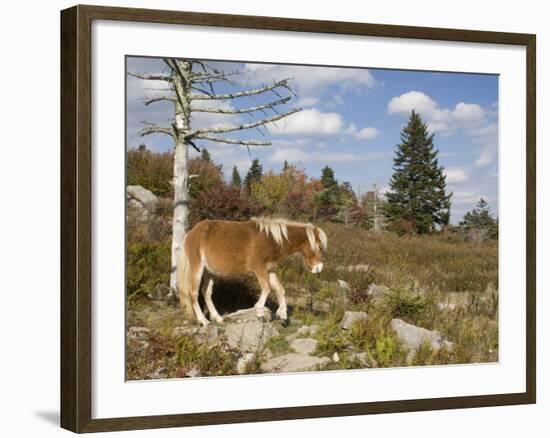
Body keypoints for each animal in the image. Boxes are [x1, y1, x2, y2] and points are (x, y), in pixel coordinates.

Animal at [179, 217, 330, 326]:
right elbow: (267, 288)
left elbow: (280, 289)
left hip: (209, 272)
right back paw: (203, 321)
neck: (272, 240)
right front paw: (259, 311)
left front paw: (282, 315)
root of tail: (191, 233)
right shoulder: (259, 268)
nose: (319, 269)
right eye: (319, 246)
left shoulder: (269, 270)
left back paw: (217, 318)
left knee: (206, 293)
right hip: (197, 267)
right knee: (193, 293)